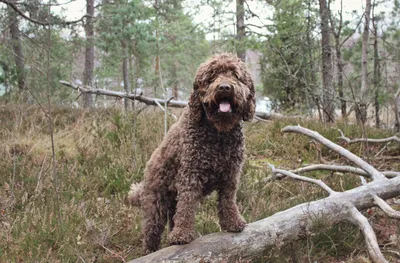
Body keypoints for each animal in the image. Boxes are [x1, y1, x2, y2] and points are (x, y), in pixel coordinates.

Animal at [128, 53, 256, 254]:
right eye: (211, 76)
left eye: (235, 75)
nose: (224, 87)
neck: (218, 133)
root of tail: (143, 181)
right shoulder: (190, 175)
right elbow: (188, 205)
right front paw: (182, 235)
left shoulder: (231, 175)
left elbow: (228, 200)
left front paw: (232, 222)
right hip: (156, 203)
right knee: (151, 231)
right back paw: (151, 250)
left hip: (172, 203)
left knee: (174, 217)